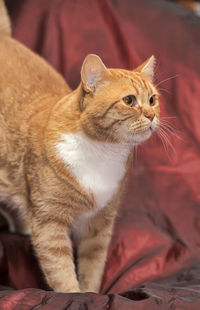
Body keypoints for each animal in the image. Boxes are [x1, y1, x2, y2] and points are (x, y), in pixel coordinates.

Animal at [0, 0, 159, 292]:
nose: (152, 115)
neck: (103, 151)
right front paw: (74, 295)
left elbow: (92, 266)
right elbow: (61, 270)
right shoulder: (50, 223)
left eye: (153, 100)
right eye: (129, 101)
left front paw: (90, 293)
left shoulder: (100, 223)